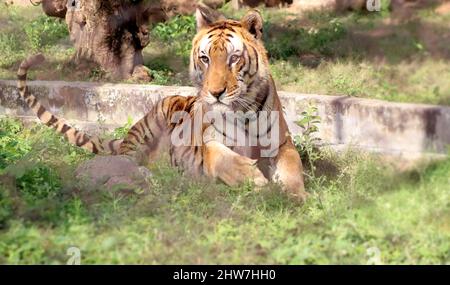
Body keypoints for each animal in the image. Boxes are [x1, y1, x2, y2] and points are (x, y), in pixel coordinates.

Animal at [16, 5, 306, 200]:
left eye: (234, 58)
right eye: (205, 58)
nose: (215, 93)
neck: (242, 112)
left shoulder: (282, 143)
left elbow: (293, 167)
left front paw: (295, 196)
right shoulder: (208, 142)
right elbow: (221, 157)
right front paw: (254, 178)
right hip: (147, 129)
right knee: (127, 162)